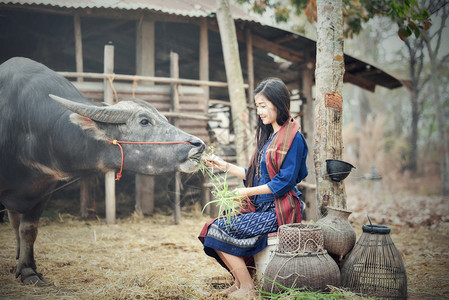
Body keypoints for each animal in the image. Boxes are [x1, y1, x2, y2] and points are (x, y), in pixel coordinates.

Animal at [0, 58, 206, 286]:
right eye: (144, 121)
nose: (198, 145)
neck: (31, 133)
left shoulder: (44, 191)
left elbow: (28, 229)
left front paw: (29, 270)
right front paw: (28, 271)